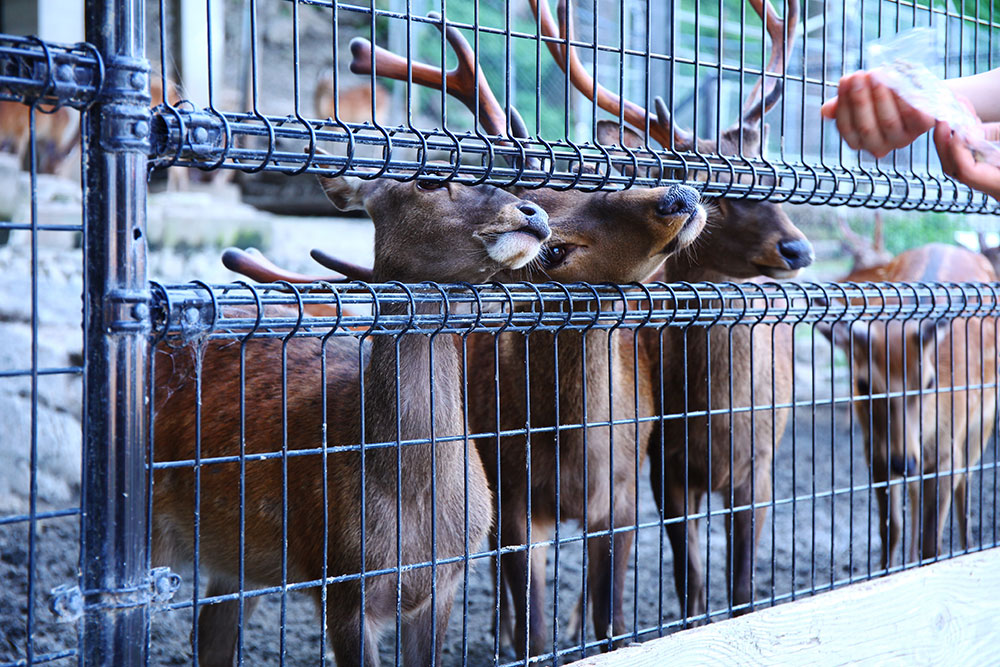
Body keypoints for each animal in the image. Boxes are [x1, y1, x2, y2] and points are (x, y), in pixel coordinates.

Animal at [152, 170, 552, 664]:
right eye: (427, 181)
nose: (533, 211)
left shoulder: (444, 583)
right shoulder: (340, 582)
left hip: (236, 556)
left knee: (211, 636)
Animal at [820, 244, 1000, 568]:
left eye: (928, 382)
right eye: (863, 384)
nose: (902, 462)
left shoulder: (947, 451)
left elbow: (933, 543)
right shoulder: (874, 449)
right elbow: (890, 529)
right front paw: (888, 570)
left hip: (984, 418)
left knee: (966, 481)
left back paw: (968, 546)